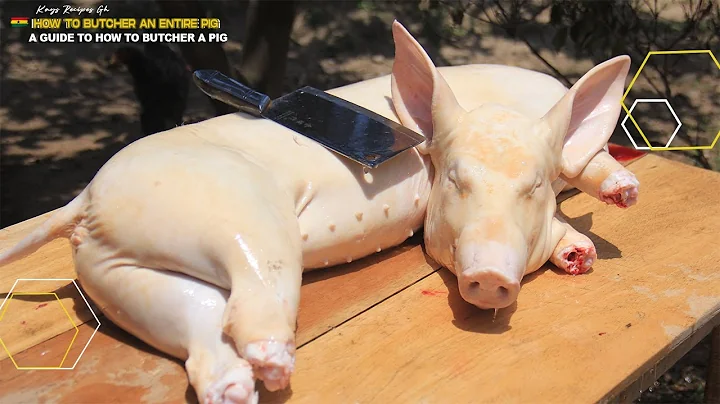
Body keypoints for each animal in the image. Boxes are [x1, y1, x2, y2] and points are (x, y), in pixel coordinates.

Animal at [0, 21, 637, 403]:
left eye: (532, 186)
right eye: (458, 179)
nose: (490, 277)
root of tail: (86, 200)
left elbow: (568, 197)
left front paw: (581, 255)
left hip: (112, 272)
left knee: (196, 317)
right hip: (244, 217)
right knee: (251, 300)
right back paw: (276, 371)